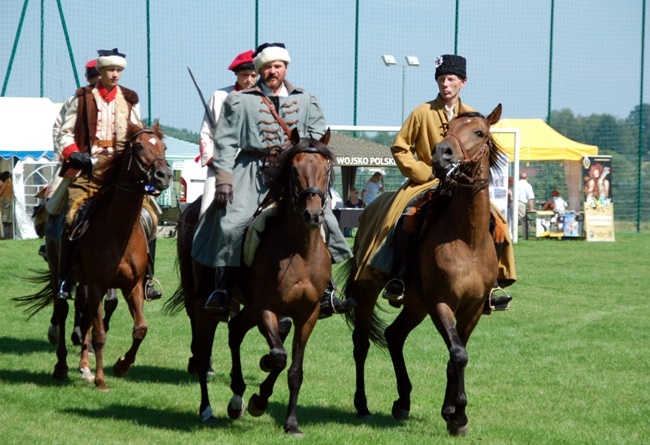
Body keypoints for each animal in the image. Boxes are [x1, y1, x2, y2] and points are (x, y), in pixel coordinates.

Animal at [16, 121, 171, 388]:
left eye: (163, 146)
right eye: (139, 146)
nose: (164, 175)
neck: (119, 230)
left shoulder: (133, 286)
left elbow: (140, 328)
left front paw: (121, 365)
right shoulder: (98, 284)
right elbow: (99, 333)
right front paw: (101, 380)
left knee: (84, 312)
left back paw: (83, 363)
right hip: (59, 274)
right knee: (62, 310)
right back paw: (62, 365)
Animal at [342, 104, 504, 434]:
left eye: (479, 132)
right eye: (447, 129)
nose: (441, 154)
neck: (467, 239)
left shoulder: (473, 309)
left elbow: (456, 356)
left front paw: (451, 413)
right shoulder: (441, 303)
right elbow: (458, 353)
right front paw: (459, 415)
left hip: (415, 305)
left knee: (394, 336)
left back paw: (402, 401)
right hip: (368, 291)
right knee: (361, 344)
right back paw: (362, 406)